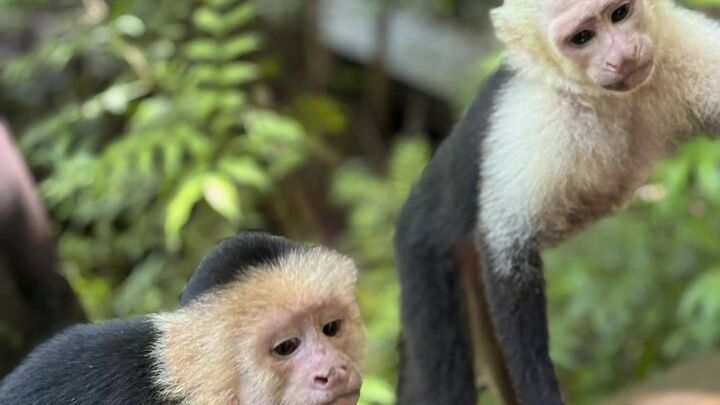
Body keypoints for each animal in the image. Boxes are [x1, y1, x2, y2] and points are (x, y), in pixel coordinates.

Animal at [395, 1, 720, 404]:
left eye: (620, 13)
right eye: (582, 37)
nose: (624, 56)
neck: (608, 98)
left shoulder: (679, 44)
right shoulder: (535, 120)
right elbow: (507, 255)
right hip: (421, 253)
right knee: (441, 377)